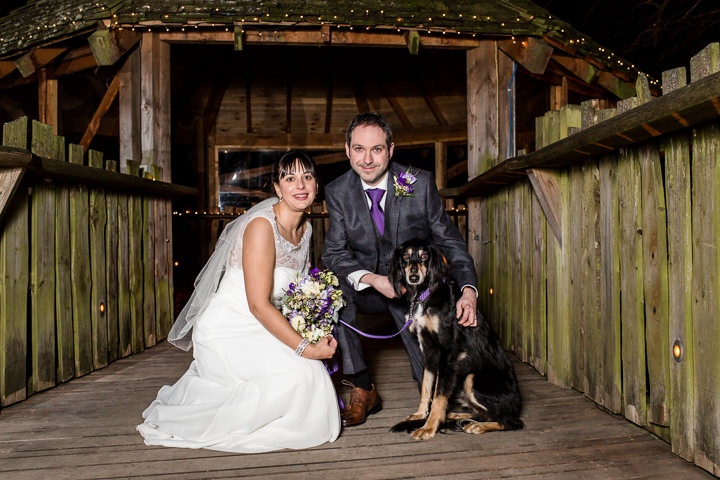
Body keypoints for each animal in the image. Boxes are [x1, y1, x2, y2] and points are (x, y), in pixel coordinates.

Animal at [388, 238, 524, 440]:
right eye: (405, 256)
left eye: (424, 256)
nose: (413, 277)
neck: (425, 294)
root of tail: (518, 404)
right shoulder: (429, 350)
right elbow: (426, 387)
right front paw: (421, 414)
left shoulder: (448, 353)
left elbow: (439, 395)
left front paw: (429, 427)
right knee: (484, 413)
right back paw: (456, 415)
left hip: (472, 378)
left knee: (510, 421)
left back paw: (479, 426)